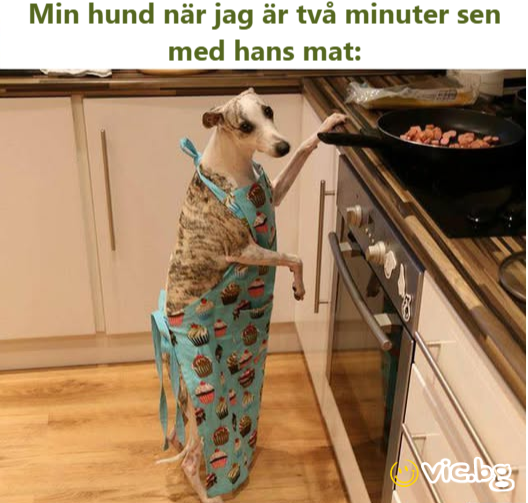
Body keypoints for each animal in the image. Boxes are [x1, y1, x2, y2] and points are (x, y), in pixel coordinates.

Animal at [160, 88, 347, 503]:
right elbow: (295, 257)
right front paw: (300, 287)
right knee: (190, 461)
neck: (234, 168)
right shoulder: (244, 250)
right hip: (203, 409)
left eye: (269, 110)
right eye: (244, 126)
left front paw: (329, 123)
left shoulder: (273, 192)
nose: (281, 144)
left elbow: (305, 150)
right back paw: (210, 494)